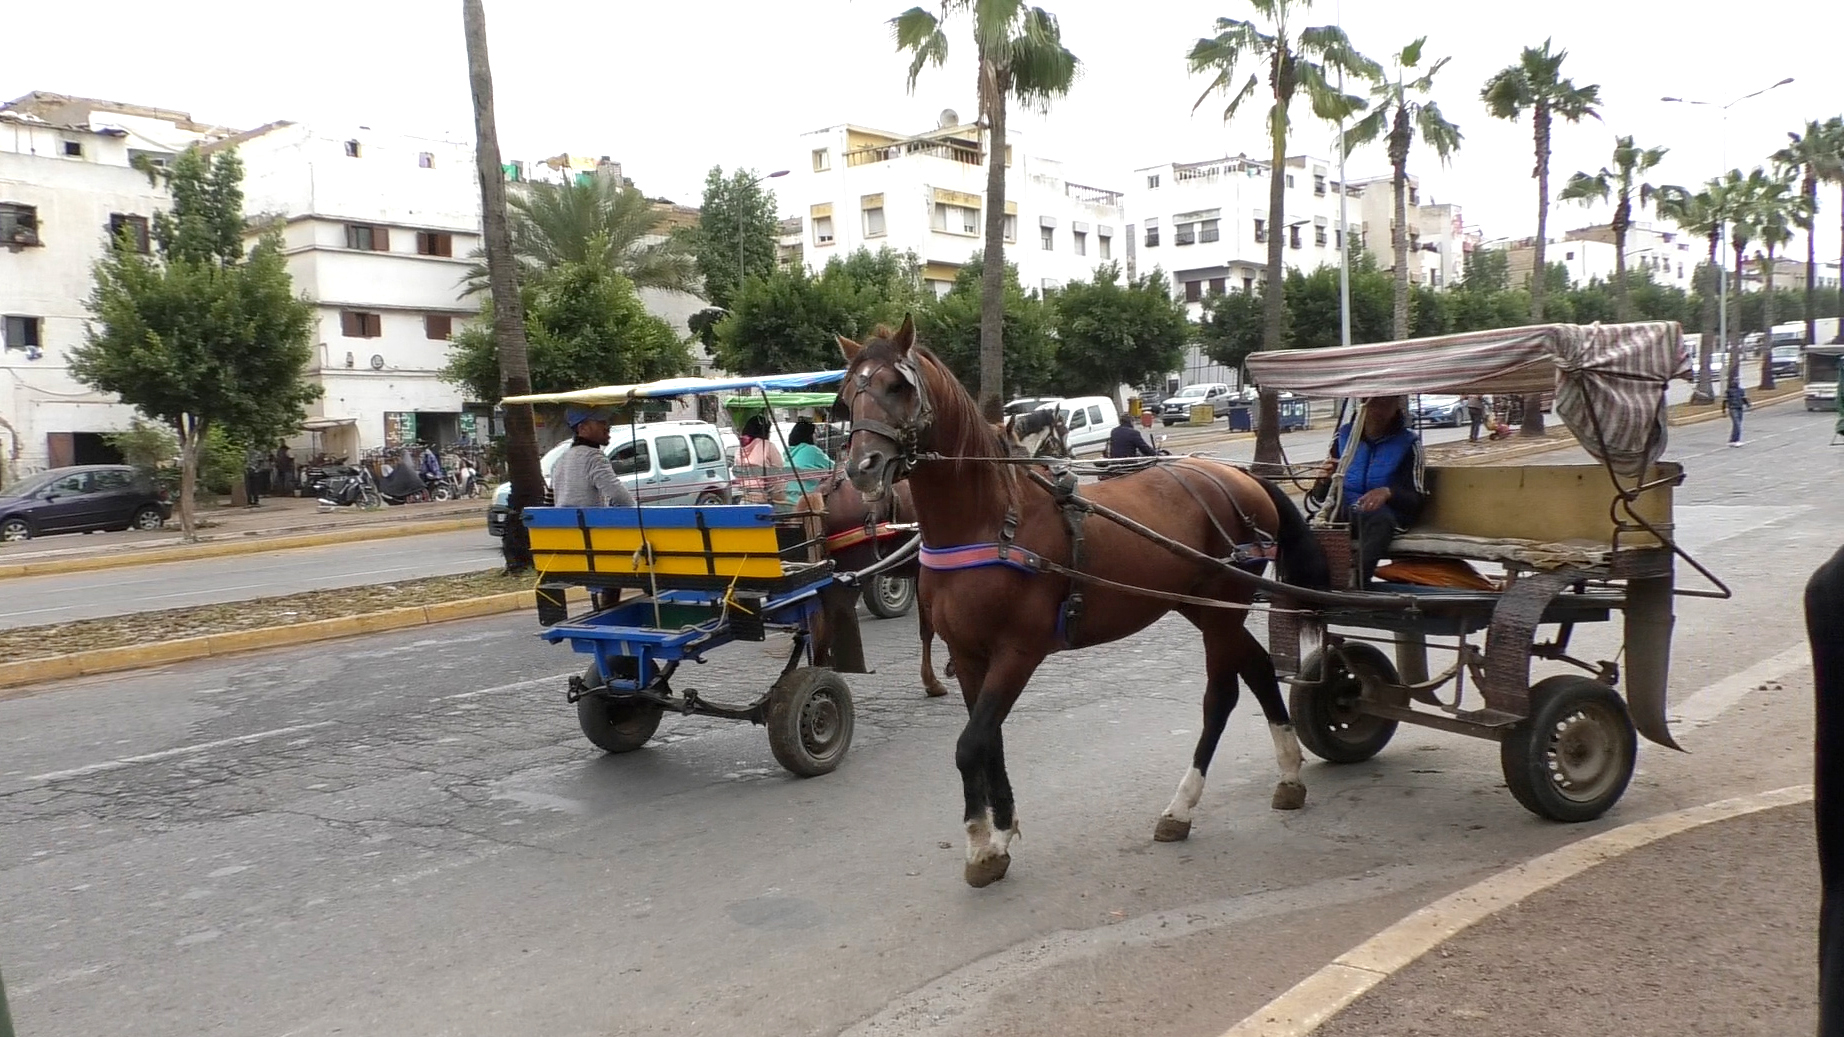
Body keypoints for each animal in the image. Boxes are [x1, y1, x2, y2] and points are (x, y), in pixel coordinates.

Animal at [837, 319, 1327, 885]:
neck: (991, 522)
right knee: (1260, 667)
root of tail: (1241, 476)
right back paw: (1288, 774)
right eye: (847, 396)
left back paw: (1182, 806)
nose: (862, 467)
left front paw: (981, 844)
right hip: (1200, 605)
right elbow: (988, 740)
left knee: (1220, 697)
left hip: (1223, 605)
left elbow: (971, 744)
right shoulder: (967, 654)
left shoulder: (1017, 653)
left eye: (898, 386)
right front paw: (999, 832)